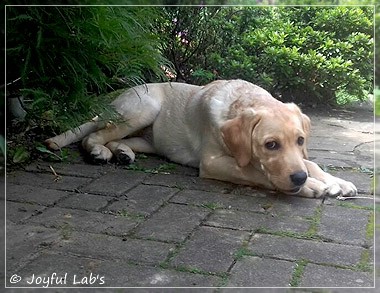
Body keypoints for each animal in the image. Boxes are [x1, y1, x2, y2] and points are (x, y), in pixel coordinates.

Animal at [46, 78, 358, 197]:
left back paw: (123, 153)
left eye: (301, 141)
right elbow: (257, 172)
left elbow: (312, 163)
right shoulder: (212, 162)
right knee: (93, 135)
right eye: (271, 145)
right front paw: (312, 186)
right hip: (143, 108)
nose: (299, 179)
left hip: (149, 138)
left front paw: (336, 181)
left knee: (116, 139)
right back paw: (99, 152)